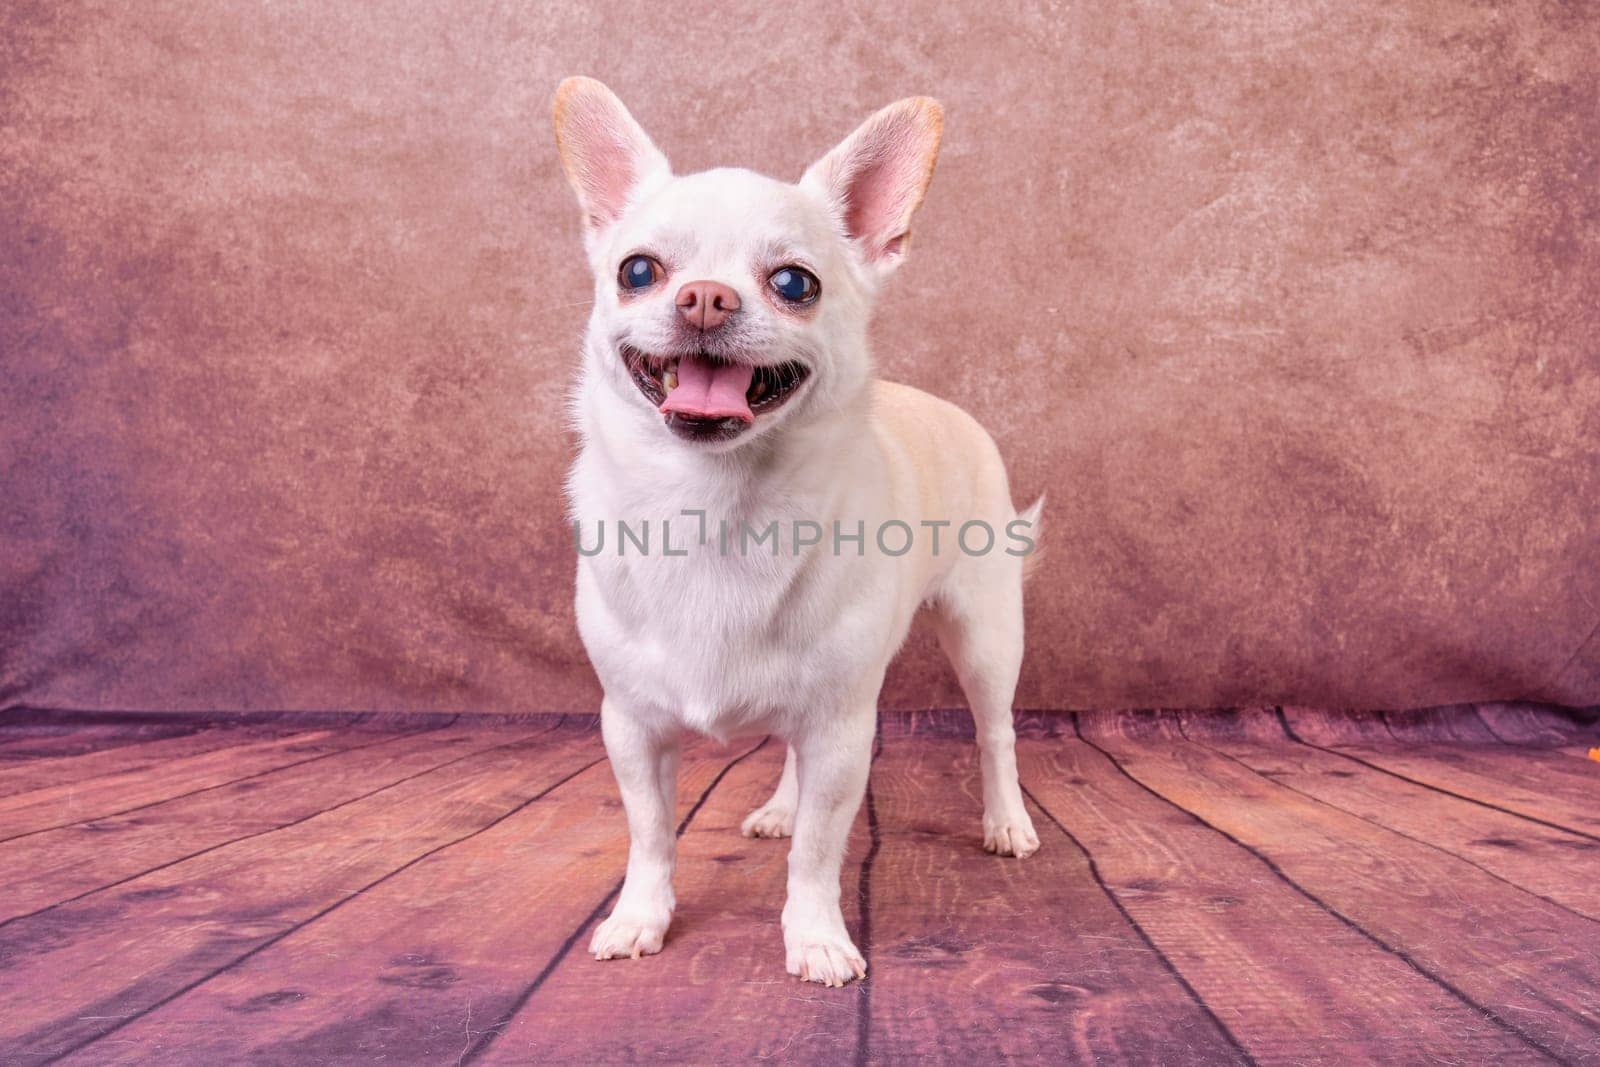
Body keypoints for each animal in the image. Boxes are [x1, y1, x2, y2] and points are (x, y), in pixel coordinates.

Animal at [556, 79, 1043, 991]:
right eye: (638, 271)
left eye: (794, 282)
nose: (704, 295)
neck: (716, 508)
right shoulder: (632, 726)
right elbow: (649, 834)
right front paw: (640, 916)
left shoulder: (843, 730)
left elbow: (820, 851)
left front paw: (815, 936)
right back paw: (780, 805)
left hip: (985, 632)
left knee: (995, 731)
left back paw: (1006, 820)